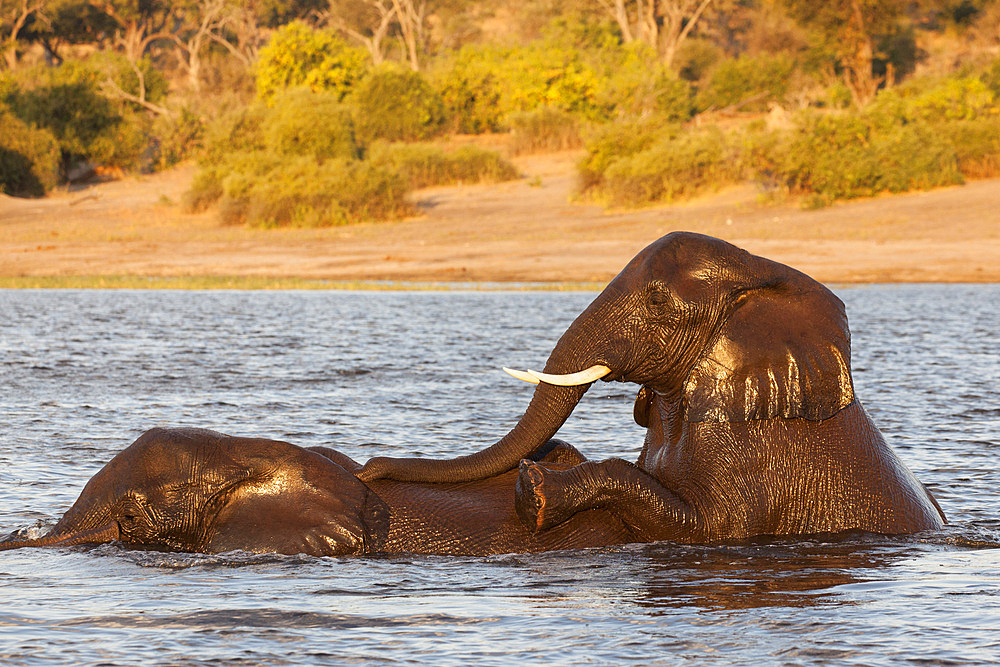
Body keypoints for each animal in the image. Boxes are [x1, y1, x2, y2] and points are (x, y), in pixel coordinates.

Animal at [360, 231, 944, 544]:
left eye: (659, 301)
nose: (368, 467)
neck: (759, 272)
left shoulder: (757, 451)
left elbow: (713, 527)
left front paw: (534, 490)